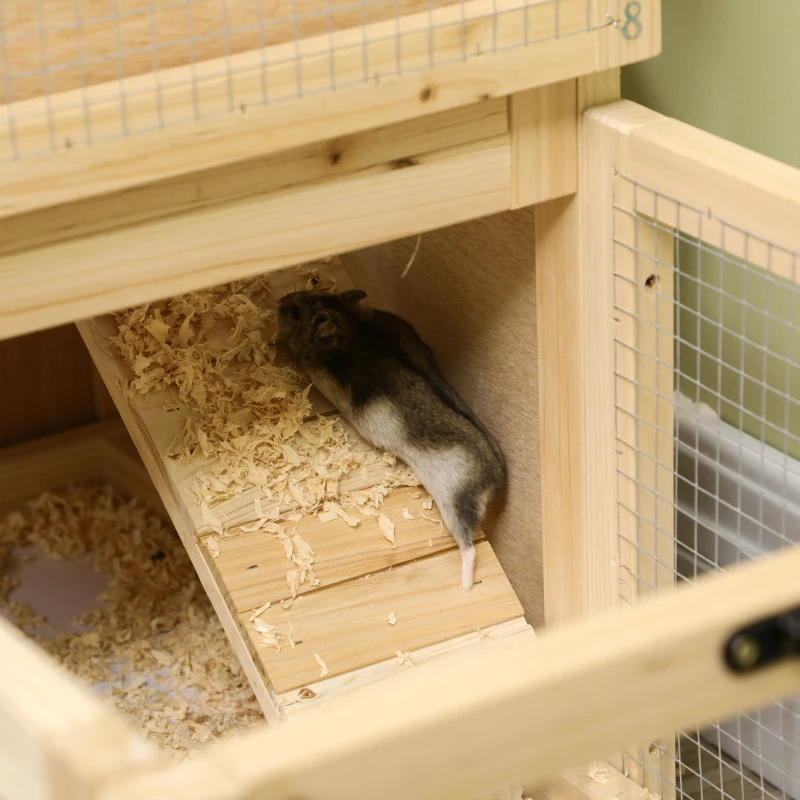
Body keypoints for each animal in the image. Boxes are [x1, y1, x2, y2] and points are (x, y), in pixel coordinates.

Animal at [277, 288, 506, 590]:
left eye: (294, 312)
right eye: (313, 289)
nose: (278, 302)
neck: (352, 327)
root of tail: (497, 482)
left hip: (455, 504)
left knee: (469, 547)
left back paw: (466, 585)